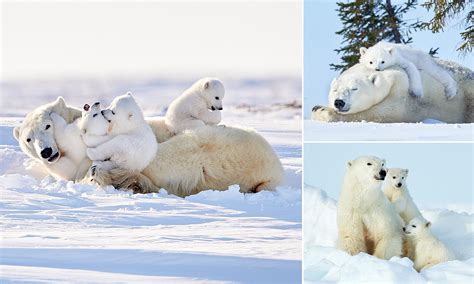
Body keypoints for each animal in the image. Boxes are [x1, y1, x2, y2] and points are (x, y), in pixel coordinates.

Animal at [312, 60, 474, 123]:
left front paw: (321, 110)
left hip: (467, 92)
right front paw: (317, 107)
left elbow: (379, 114)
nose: (339, 102)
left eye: (354, 88)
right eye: (335, 90)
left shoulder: (399, 90)